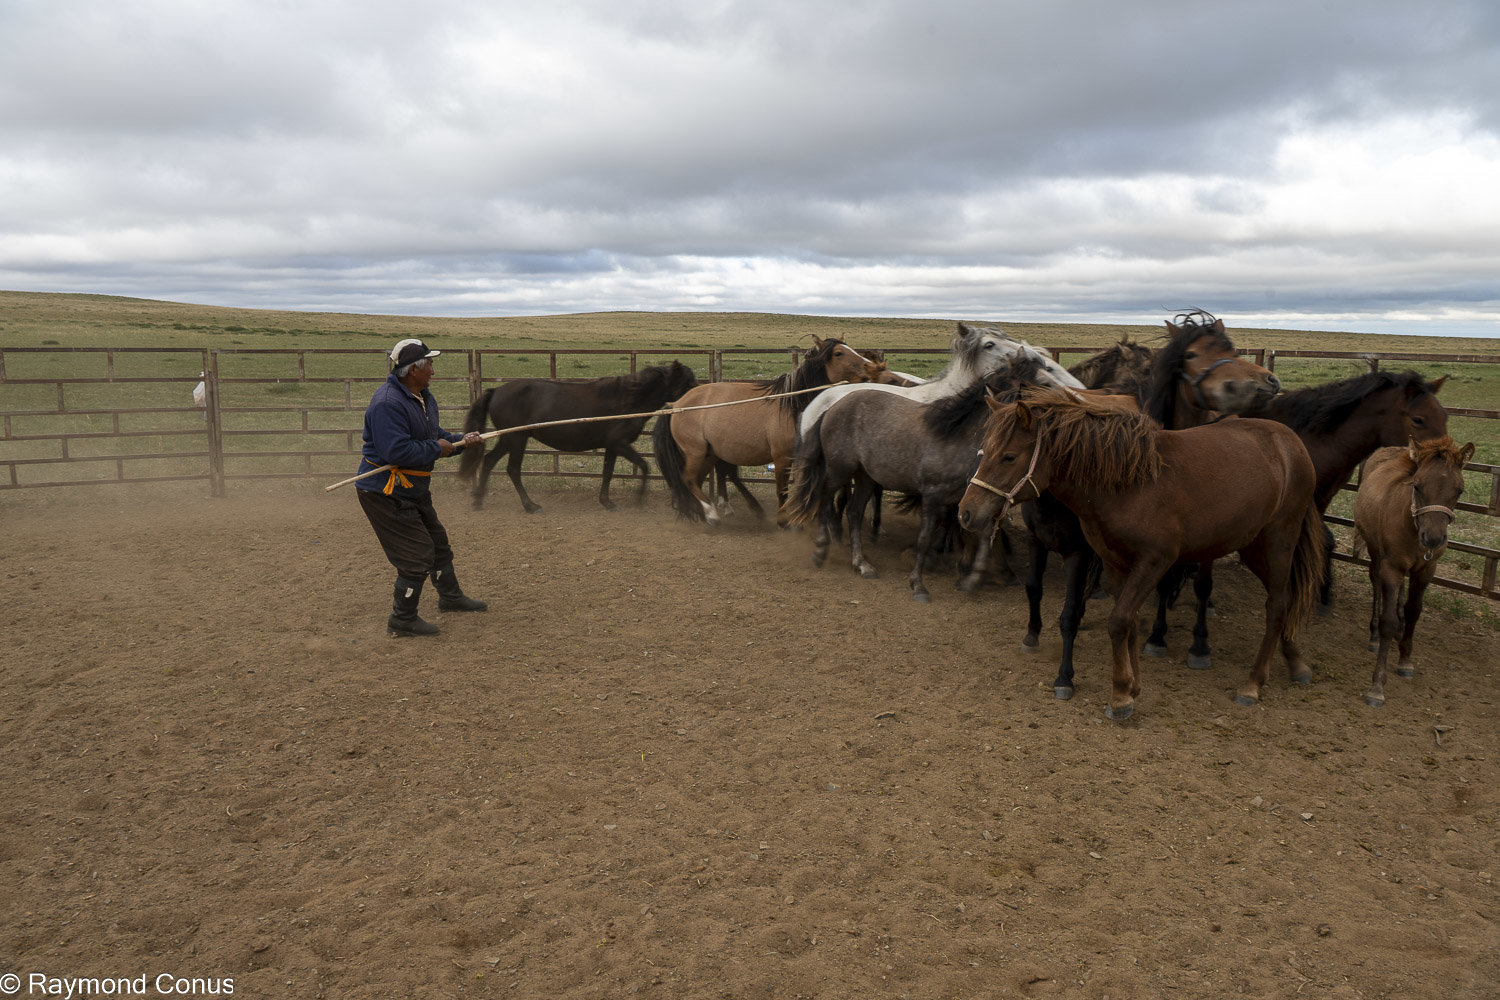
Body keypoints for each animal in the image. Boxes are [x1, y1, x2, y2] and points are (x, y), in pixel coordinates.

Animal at [457, 361, 700, 513]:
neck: (628, 401)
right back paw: (531, 506)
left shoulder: (612, 447)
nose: (701, 398)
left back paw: (478, 500)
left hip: (509, 438)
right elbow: (644, 466)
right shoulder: (620, 444)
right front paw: (639, 500)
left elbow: (607, 473)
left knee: (489, 461)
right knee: (513, 470)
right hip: (517, 440)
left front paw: (607, 502)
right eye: (688, 384)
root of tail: (496, 391)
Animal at [652, 336, 871, 524]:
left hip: (709, 453)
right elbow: (782, 490)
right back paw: (712, 515)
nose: (870, 367)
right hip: (695, 451)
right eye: (838, 353)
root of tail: (676, 404)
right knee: (689, 478)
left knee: (697, 479)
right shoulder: (782, 458)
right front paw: (783, 520)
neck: (792, 406)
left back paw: (700, 511)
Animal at [781, 356, 1052, 601]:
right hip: (840, 470)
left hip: (866, 477)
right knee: (825, 498)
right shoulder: (933, 495)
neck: (957, 438)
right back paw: (821, 549)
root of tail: (831, 407)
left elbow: (984, 535)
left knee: (854, 512)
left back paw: (861, 564)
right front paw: (918, 585)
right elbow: (924, 538)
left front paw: (972, 579)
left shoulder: (972, 500)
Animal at [958, 387, 1325, 720]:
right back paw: (1295, 662)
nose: (966, 513)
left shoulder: (1154, 562)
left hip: (1278, 541)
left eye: (1008, 456)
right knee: (1286, 601)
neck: (1130, 484)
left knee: (1277, 605)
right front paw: (1132, 687)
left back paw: (1253, 683)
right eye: (983, 451)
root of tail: (1289, 442)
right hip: (1251, 546)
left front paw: (1120, 695)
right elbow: (1130, 622)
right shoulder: (1115, 562)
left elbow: (1119, 620)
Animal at [1353, 437, 1473, 707]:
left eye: (1459, 490)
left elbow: (1414, 611)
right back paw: (1374, 636)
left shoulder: (1426, 570)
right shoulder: (1392, 567)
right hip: (1376, 552)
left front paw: (1405, 660)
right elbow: (1388, 620)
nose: (1433, 539)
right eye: (1417, 486)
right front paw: (1377, 686)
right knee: (1375, 581)